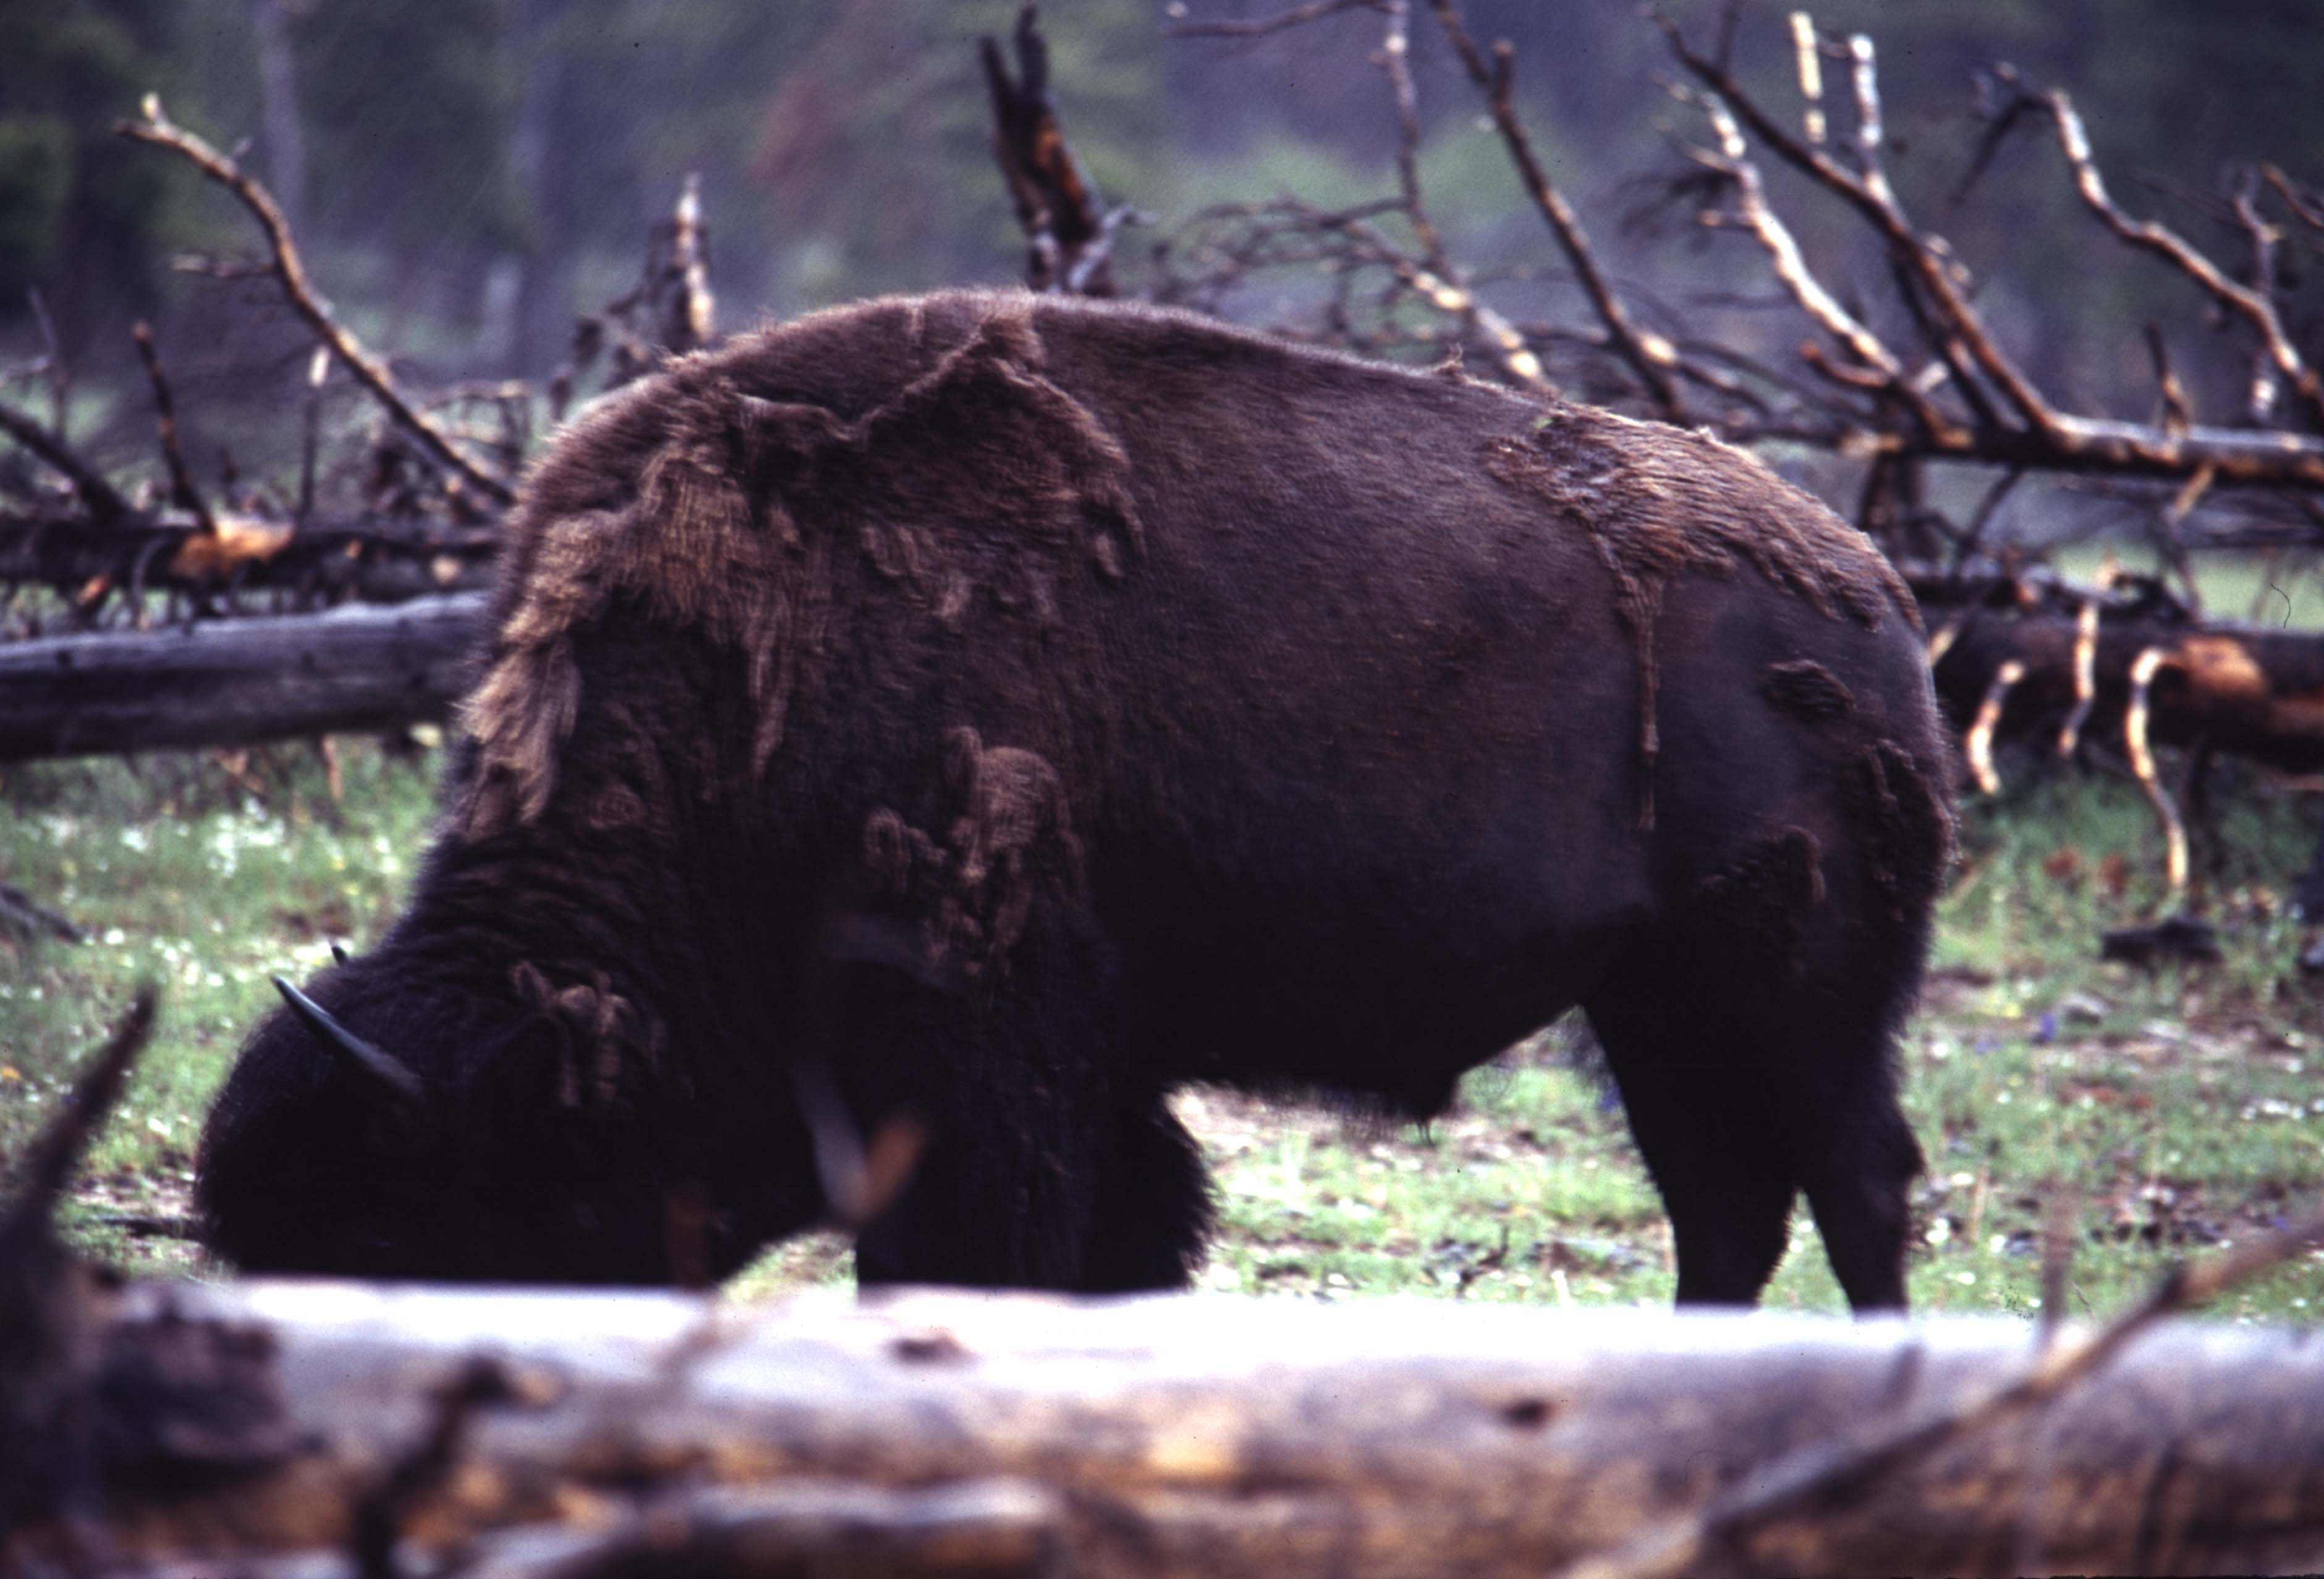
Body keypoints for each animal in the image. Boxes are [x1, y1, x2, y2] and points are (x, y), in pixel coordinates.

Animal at [196, 290, 1950, 1307]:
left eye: (396, 1233)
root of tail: (1872, 594)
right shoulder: (1081, 1078)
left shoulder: (980, 1059)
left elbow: (970, 1261)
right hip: (1657, 1005)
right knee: (1730, 1206)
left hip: (1792, 994)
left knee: (1850, 1188)